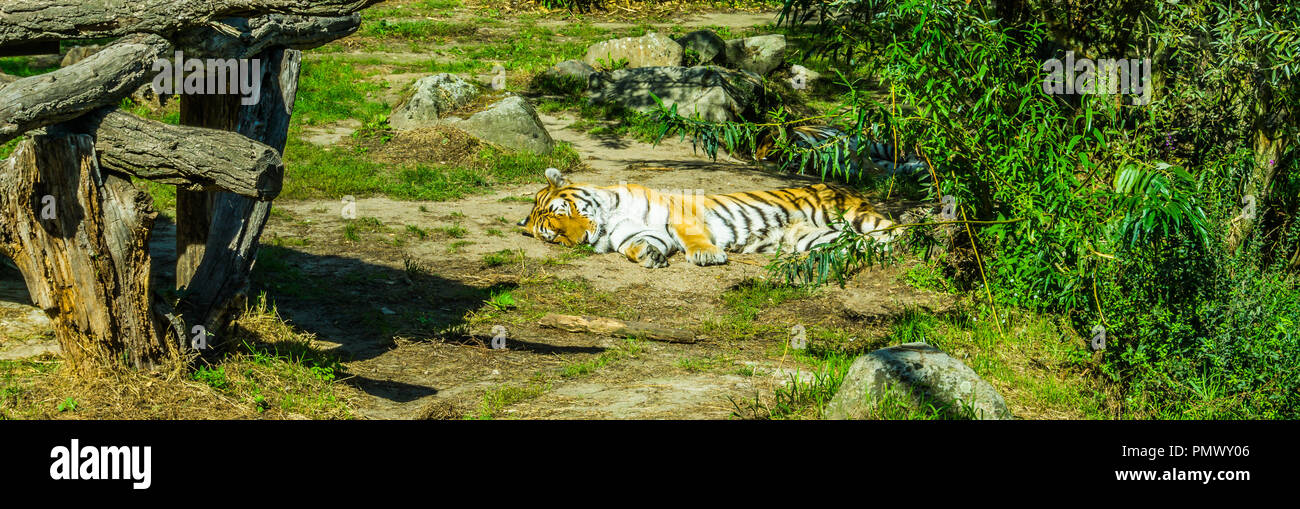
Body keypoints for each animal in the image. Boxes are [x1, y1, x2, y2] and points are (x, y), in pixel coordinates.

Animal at [517, 167, 904, 270]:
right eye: (556, 235)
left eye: (566, 212)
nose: (582, 240)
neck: (609, 219)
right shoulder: (636, 234)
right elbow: (637, 245)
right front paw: (648, 256)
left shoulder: (678, 212)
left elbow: (692, 236)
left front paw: (706, 255)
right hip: (817, 236)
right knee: (870, 244)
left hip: (854, 217)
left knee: (898, 231)